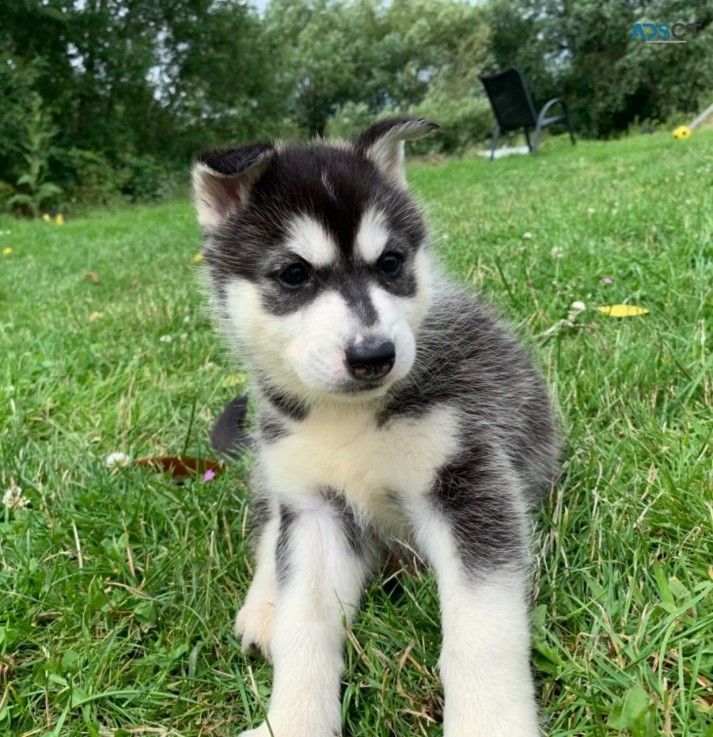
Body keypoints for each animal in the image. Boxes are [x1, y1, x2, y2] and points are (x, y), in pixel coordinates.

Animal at [192, 118, 560, 732]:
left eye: (390, 263)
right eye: (293, 274)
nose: (374, 356)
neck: (348, 418)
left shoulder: (468, 483)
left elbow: (482, 630)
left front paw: (489, 721)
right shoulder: (315, 509)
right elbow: (304, 625)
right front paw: (293, 721)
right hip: (275, 470)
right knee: (270, 525)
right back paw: (264, 605)